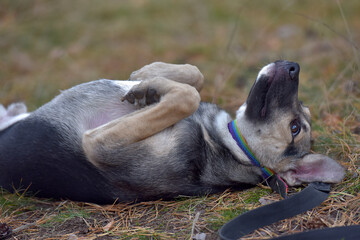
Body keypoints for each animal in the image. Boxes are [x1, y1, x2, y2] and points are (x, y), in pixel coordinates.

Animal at [0, 61, 344, 203]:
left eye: (295, 128)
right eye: (301, 117)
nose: (294, 66)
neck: (225, 145)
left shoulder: (99, 143)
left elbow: (186, 96)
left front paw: (150, 85)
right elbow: (195, 76)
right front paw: (146, 77)